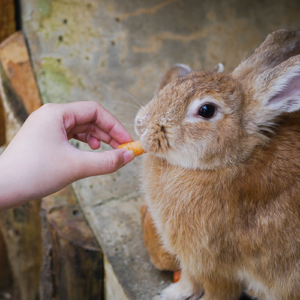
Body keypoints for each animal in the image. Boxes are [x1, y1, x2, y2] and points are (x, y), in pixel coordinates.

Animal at [134, 28, 300, 300]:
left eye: (206, 110)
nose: (141, 124)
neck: (224, 164)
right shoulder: (192, 262)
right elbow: (189, 280)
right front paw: (170, 294)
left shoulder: (217, 267)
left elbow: (216, 292)